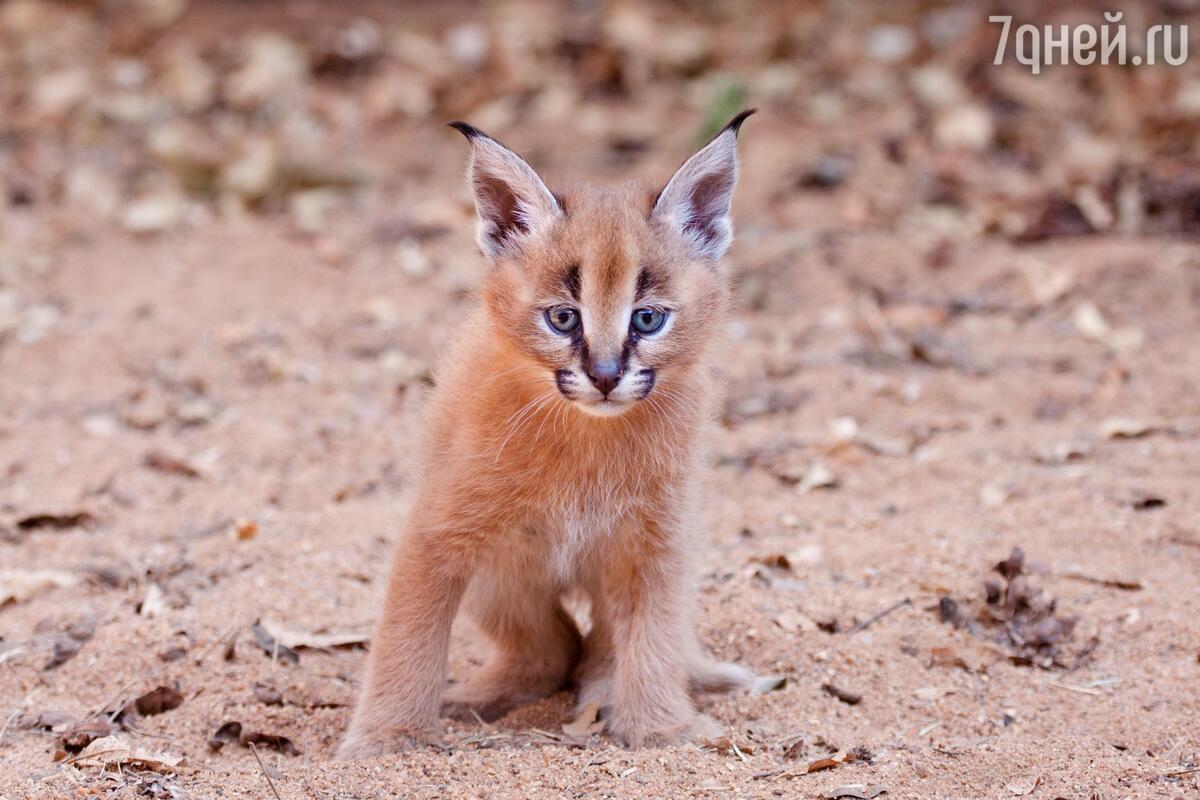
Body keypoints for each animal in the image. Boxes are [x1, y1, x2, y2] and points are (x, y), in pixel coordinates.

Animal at [338, 110, 753, 758]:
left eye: (647, 319)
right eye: (562, 318)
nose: (605, 376)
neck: (585, 437)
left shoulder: (658, 537)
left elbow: (655, 634)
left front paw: (662, 729)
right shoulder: (439, 529)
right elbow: (408, 632)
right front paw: (387, 739)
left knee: (593, 645)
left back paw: (602, 695)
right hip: (501, 571)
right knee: (553, 646)